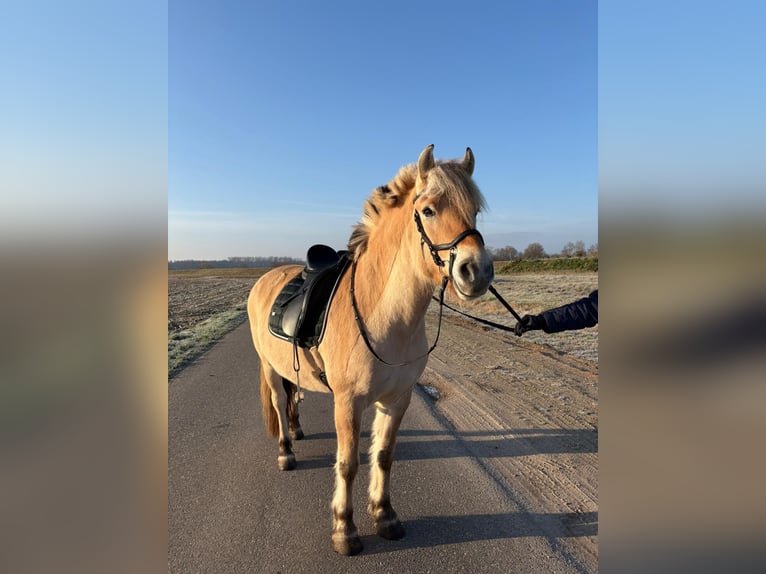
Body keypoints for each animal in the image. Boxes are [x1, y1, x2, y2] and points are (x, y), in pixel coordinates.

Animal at [246, 144, 494, 555]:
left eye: (474, 210)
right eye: (429, 210)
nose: (477, 272)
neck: (384, 315)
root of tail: (267, 277)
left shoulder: (397, 399)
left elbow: (383, 455)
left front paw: (384, 514)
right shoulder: (348, 402)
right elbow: (348, 464)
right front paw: (344, 529)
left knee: (294, 397)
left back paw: (297, 430)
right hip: (269, 367)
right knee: (281, 403)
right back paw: (286, 449)